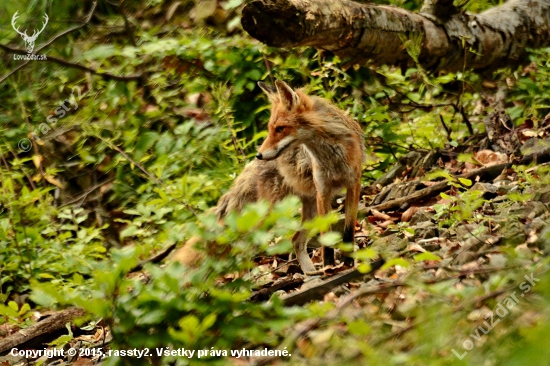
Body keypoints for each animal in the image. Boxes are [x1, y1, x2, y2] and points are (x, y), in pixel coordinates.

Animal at [258, 81, 366, 274]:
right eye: (270, 129)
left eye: (280, 129)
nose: (259, 154)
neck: (332, 160)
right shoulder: (323, 191)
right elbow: (326, 237)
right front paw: (329, 266)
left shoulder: (354, 184)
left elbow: (348, 230)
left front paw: (348, 261)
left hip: (310, 211)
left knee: (296, 241)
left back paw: (309, 272)